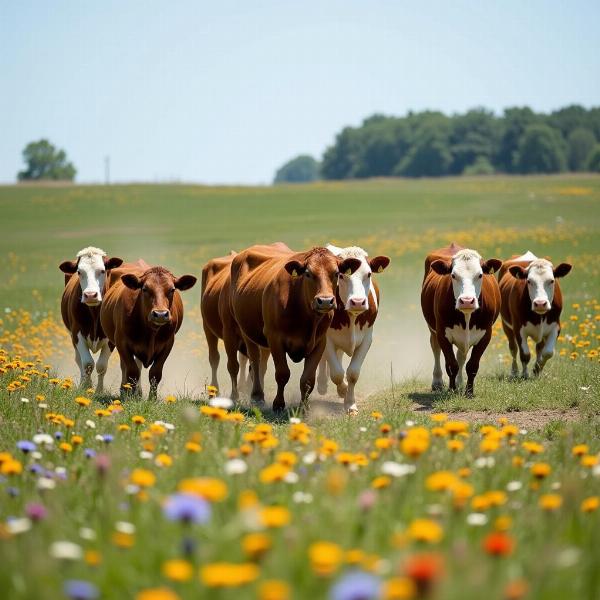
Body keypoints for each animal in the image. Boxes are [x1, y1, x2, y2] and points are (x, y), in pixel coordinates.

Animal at [59, 246, 123, 392]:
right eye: (79, 272)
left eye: (102, 270)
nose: (90, 295)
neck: (94, 313)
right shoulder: (76, 334)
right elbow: (87, 364)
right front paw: (86, 387)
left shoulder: (110, 339)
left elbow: (101, 365)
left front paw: (99, 390)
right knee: (79, 360)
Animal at [99, 258, 196, 396]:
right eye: (145, 288)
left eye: (172, 289)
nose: (160, 314)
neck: (151, 331)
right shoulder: (122, 342)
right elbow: (132, 372)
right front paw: (130, 397)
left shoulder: (168, 344)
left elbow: (155, 374)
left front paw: (152, 398)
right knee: (125, 367)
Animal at [230, 243, 360, 408]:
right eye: (308, 274)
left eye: (337, 273)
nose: (325, 301)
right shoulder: (275, 338)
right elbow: (282, 373)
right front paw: (278, 404)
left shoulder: (319, 342)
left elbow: (308, 379)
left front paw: (304, 407)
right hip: (247, 334)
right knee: (255, 362)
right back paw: (257, 395)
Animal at [316, 246, 392, 414]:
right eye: (341, 275)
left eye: (369, 274)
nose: (357, 302)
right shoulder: (328, 339)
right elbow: (337, 373)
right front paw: (342, 389)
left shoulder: (367, 339)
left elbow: (353, 373)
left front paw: (350, 404)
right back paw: (322, 384)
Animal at [422, 241, 502, 396]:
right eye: (453, 275)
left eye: (480, 275)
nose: (466, 301)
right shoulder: (442, 334)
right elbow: (451, 365)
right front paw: (451, 390)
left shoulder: (485, 335)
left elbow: (472, 365)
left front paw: (469, 392)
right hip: (432, 329)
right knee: (436, 349)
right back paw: (437, 381)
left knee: (461, 356)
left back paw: (460, 382)